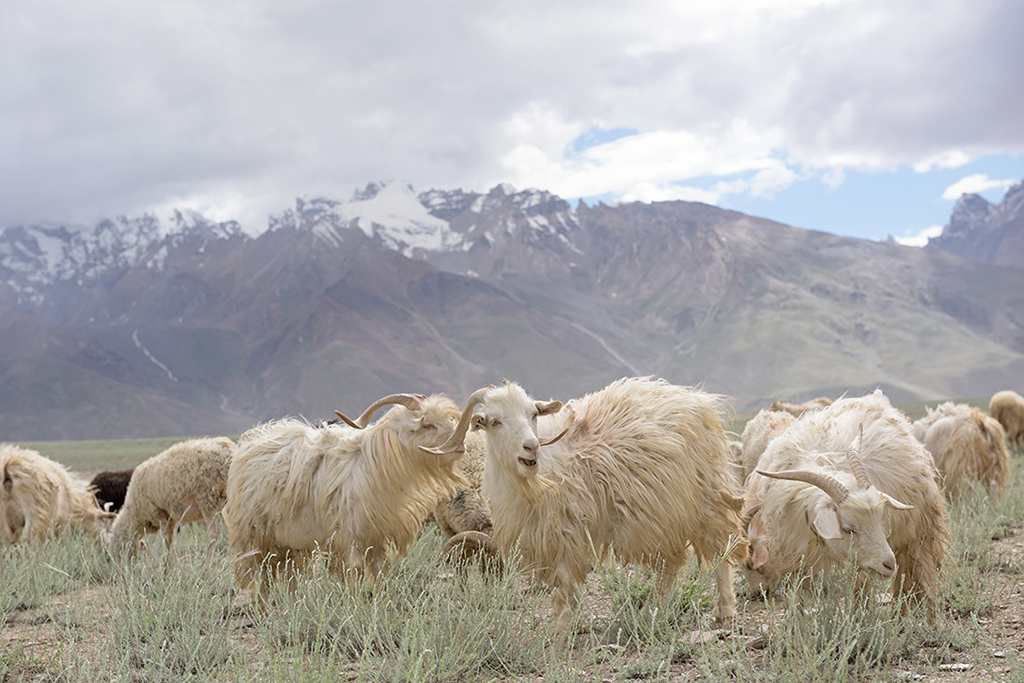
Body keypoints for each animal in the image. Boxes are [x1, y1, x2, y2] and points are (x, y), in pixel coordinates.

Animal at [224, 393, 468, 593]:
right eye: (428, 424)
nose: (460, 444)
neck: (375, 464)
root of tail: (251, 441)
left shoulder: (376, 536)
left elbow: (380, 573)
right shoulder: (348, 536)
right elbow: (354, 573)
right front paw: (357, 610)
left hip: (288, 544)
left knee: (285, 576)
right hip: (253, 536)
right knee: (257, 578)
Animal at [428, 376, 749, 626]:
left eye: (533, 414)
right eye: (494, 421)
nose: (531, 446)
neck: (535, 481)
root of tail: (698, 399)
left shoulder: (570, 532)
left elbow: (564, 587)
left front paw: (561, 632)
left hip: (703, 496)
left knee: (722, 548)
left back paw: (724, 611)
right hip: (664, 513)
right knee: (672, 563)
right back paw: (652, 612)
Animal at [745, 387, 950, 622]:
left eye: (880, 521)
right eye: (848, 528)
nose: (889, 564)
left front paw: (858, 619)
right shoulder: (793, 551)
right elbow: (796, 597)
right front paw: (797, 625)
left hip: (920, 531)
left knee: (921, 574)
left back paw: (923, 619)